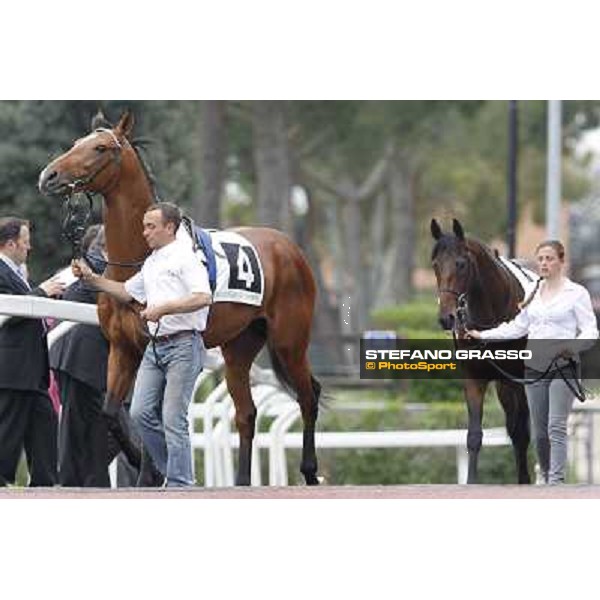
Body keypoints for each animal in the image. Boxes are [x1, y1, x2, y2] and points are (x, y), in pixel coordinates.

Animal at [39, 111, 322, 488]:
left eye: (99, 147)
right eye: (75, 143)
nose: (49, 176)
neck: (141, 259)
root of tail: (289, 247)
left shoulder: (152, 346)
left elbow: (150, 414)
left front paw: (151, 473)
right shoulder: (122, 347)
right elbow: (113, 412)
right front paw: (146, 466)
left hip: (290, 340)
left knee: (308, 395)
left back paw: (309, 470)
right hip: (239, 346)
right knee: (246, 412)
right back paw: (241, 480)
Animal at [432, 218, 528, 486]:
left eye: (461, 264)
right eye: (435, 265)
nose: (446, 318)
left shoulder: (515, 379)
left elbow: (522, 430)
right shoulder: (474, 378)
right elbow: (474, 435)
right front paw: (471, 481)